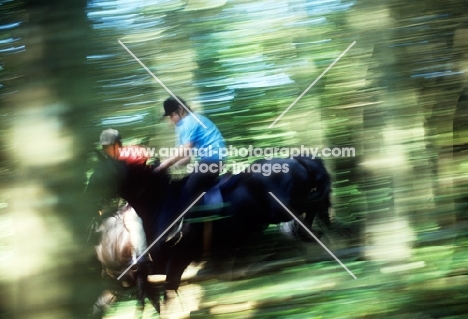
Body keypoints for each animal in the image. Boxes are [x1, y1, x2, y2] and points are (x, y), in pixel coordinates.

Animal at [86, 154, 330, 318]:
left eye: (99, 174)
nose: (88, 201)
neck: (160, 205)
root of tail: (298, 160)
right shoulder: (142, 274)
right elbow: (146, 298)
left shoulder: (176, 260)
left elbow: (165, 295)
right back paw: (307, 233)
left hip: (283, 207)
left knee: (316, 202)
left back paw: (310, 232)